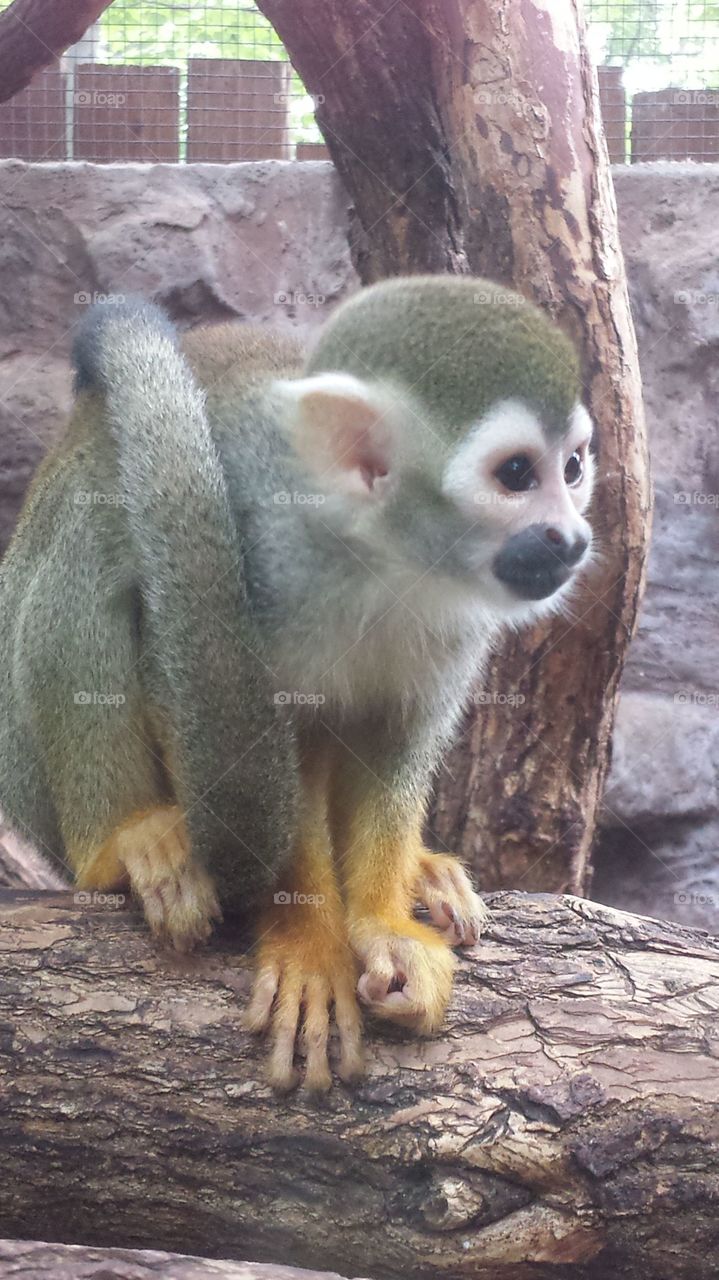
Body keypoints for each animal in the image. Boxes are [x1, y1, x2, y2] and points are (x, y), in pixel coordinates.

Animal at [0, 276, 595, 1091]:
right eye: (516, 475)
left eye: (573, 468)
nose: (570, 537)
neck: (375, 554)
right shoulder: (256, 556)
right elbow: (192, 688)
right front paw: (308, 940)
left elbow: (396, 733)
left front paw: (380, 922)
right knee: (93, 541)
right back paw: (121, 845)